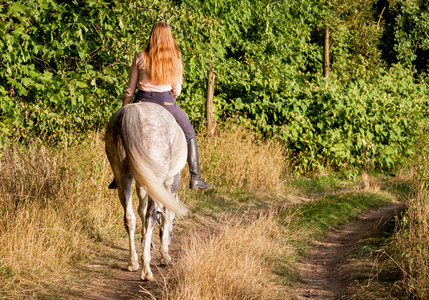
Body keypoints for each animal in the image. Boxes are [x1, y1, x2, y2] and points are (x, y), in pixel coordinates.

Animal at [104, 102, 187, 280]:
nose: (171, 238)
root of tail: (131, 111)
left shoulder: (142, 183)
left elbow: (140, 210)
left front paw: (146, 243)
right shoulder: (169, 183)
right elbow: (166, 214)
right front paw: (164, 255)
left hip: (122, 176)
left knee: (129, 217)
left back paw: (133, 262)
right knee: (151, 216)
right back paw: (146, 270)